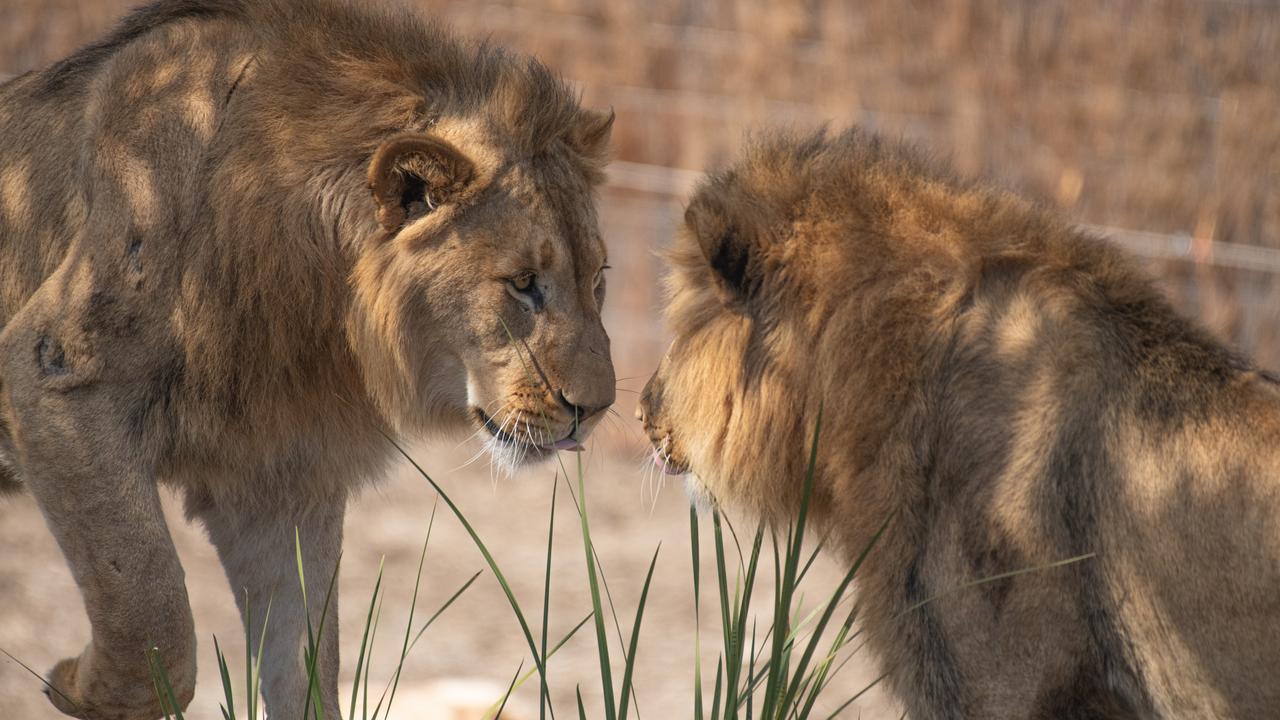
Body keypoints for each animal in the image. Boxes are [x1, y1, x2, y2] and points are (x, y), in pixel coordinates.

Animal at [0, 1, 616, 717]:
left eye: (597, 279)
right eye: (522, 283)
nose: (596, 409)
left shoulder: (277, 476)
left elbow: (307, 665)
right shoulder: (57, 375)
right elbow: (152, 613)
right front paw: (76, 683)